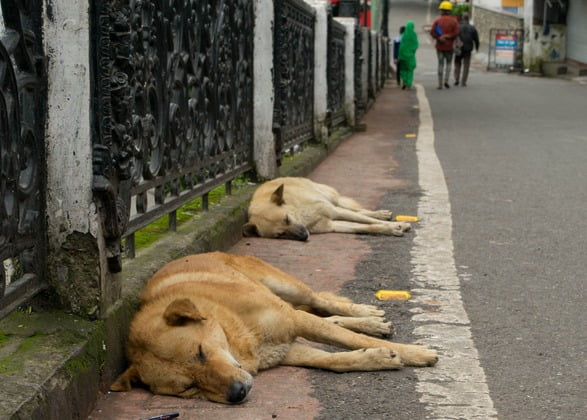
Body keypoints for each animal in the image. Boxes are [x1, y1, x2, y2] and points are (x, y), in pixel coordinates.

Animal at [112, 253, 438, 404]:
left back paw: (365, 313)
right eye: (188, 388)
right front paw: (376, 357)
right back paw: (372, 322)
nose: (237, 393)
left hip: (285, 286)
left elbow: (347, 339)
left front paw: (414, 353)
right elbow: (334, 359)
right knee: (321, 314)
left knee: (320, 300)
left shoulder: (292, 323)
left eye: (201, 352)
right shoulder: (287, 349)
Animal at [241, 176, 412, 241]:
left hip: (333, 200)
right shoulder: (332, 225)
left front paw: (399, 224)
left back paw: (380, 214)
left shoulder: (335, 212)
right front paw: (390, 229)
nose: (304, 236)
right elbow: (367, 226)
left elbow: (366, 219)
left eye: (287, 219)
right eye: (280, 235)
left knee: (357, 210)